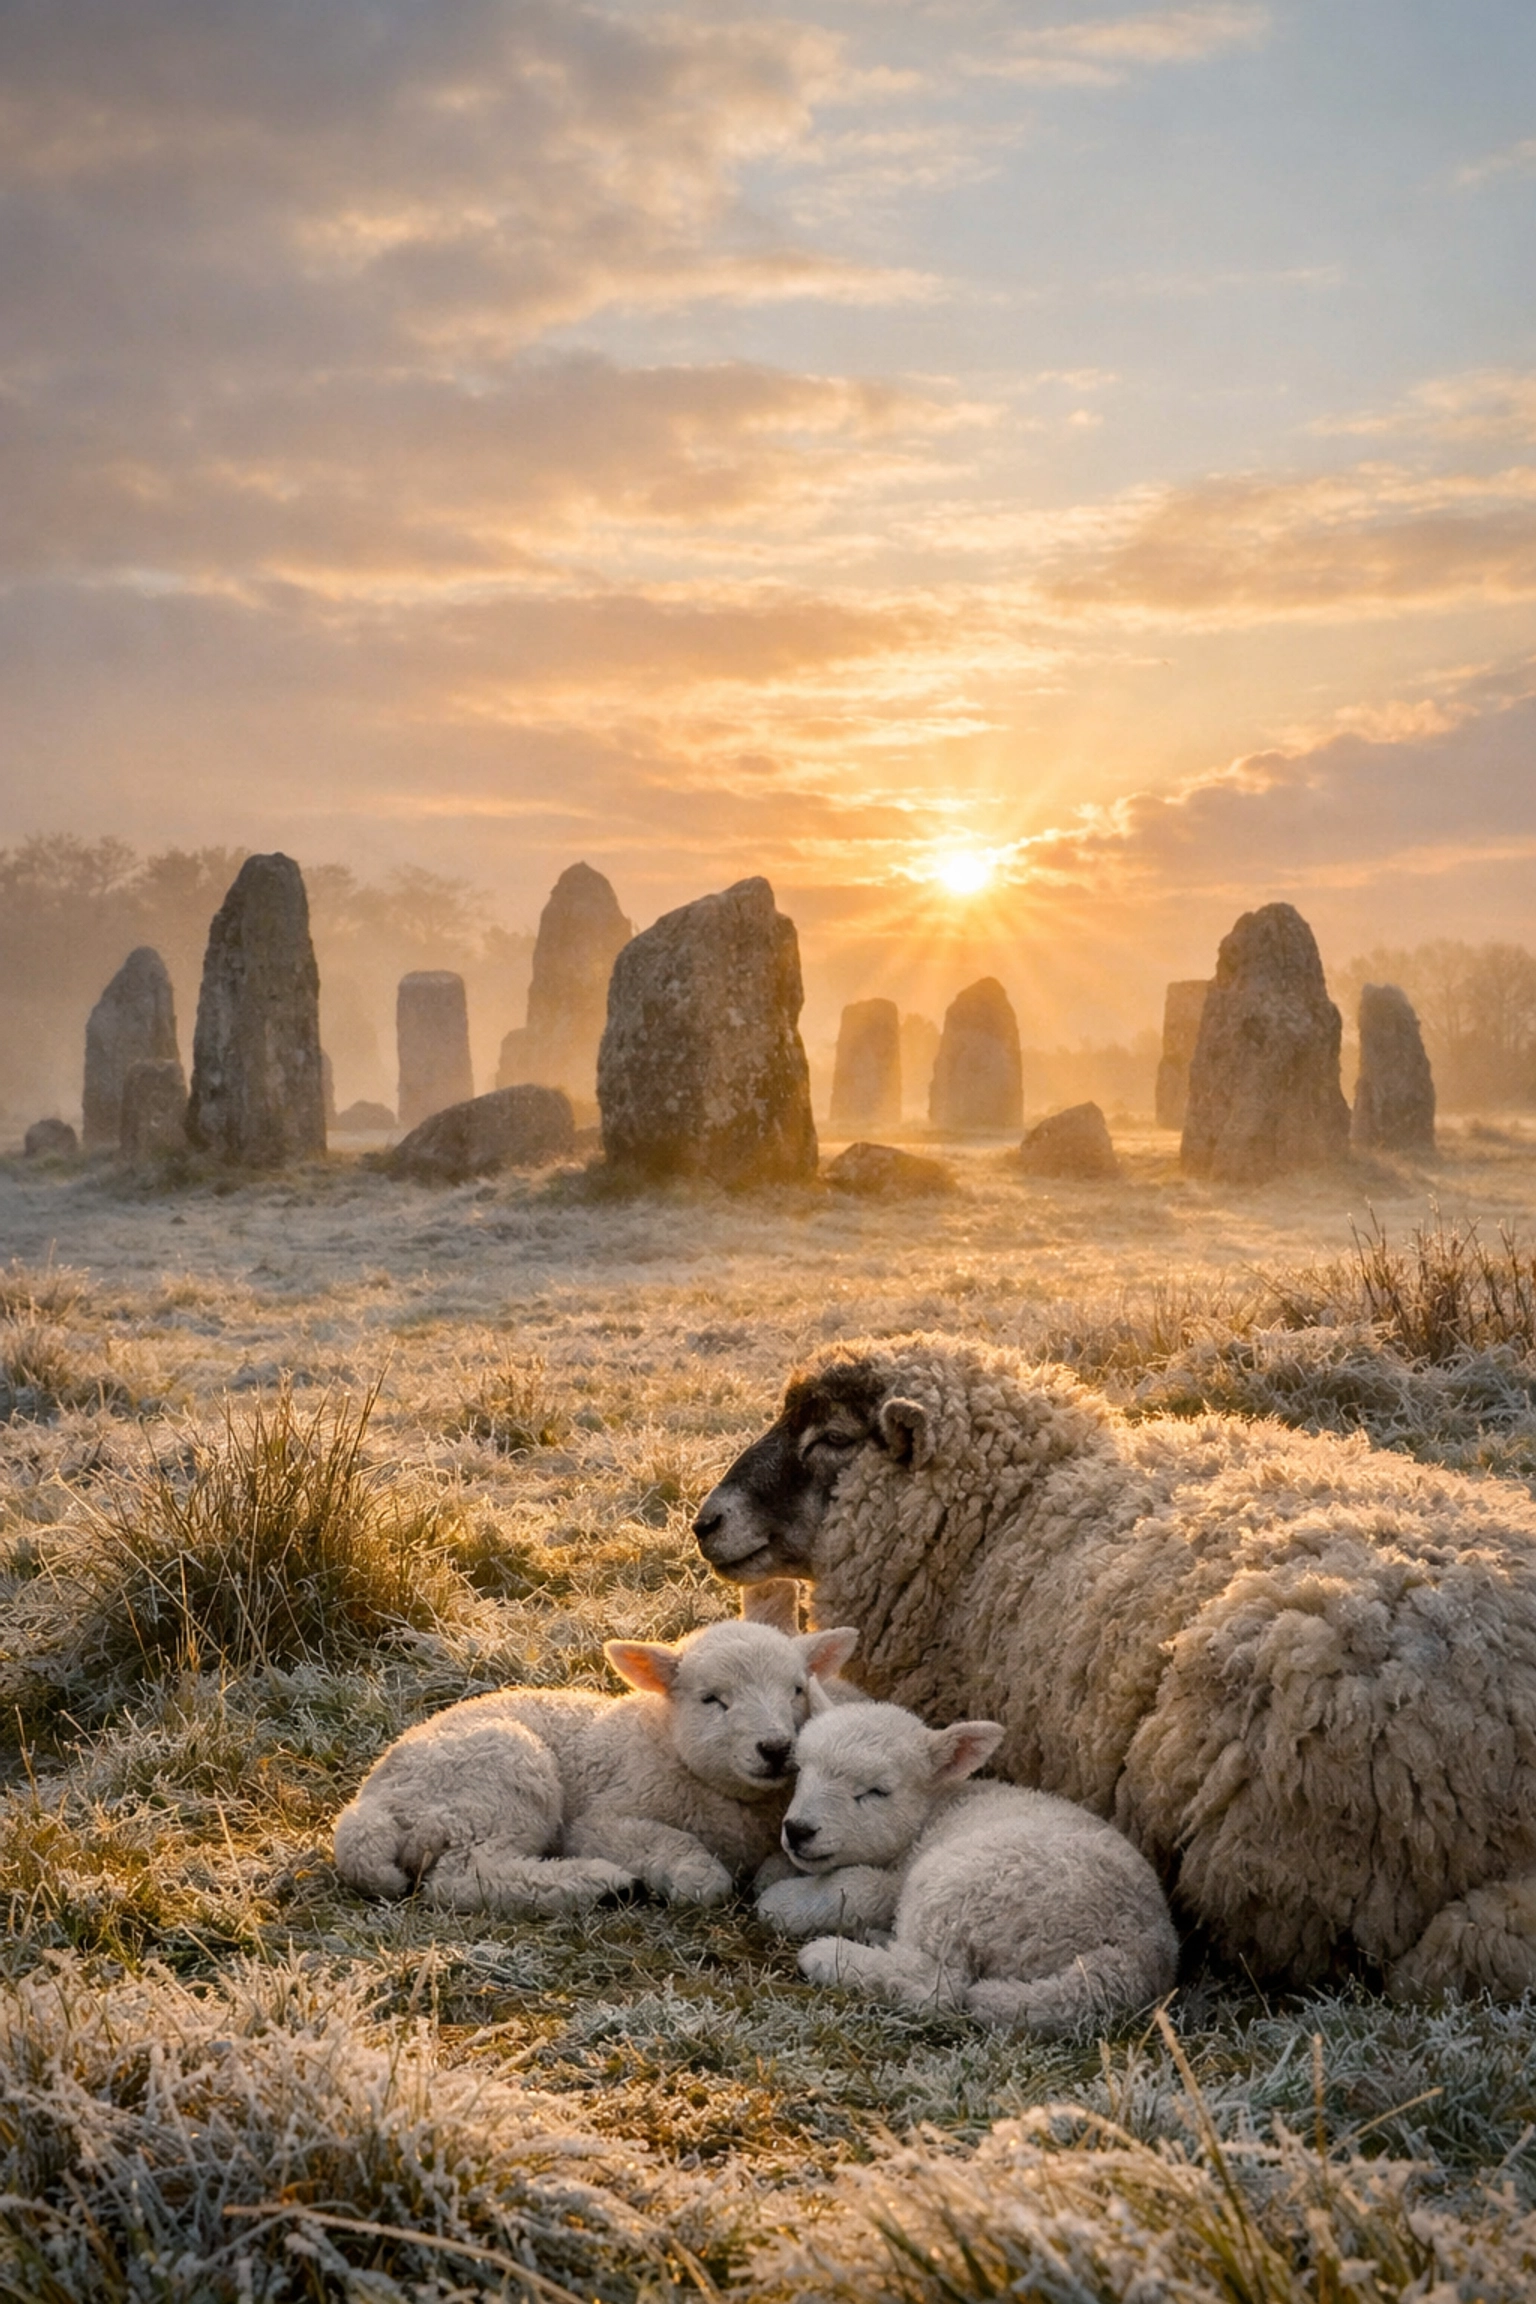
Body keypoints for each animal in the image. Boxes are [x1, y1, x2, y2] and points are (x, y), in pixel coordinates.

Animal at [333, 1618, 857, 1916]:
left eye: (796, 1690)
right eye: (713, 1699)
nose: (776, 1748)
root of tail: (368, 1805)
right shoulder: (598, 1822)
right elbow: (676, 1848)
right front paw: (694, 1875)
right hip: (499, 1779)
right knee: (464, 1877)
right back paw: (602, 1884)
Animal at [758, 1699, 1178, 2032]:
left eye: (876, 1792)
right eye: (802, 1771)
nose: (798, 1830)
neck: (932, 1813)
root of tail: (1139, 1951)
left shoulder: (898, 1878)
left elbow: (856, 1887)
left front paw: (779, 1903)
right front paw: (773, 1870)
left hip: (960, 1889)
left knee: (936, 1986)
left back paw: (829, 1955)